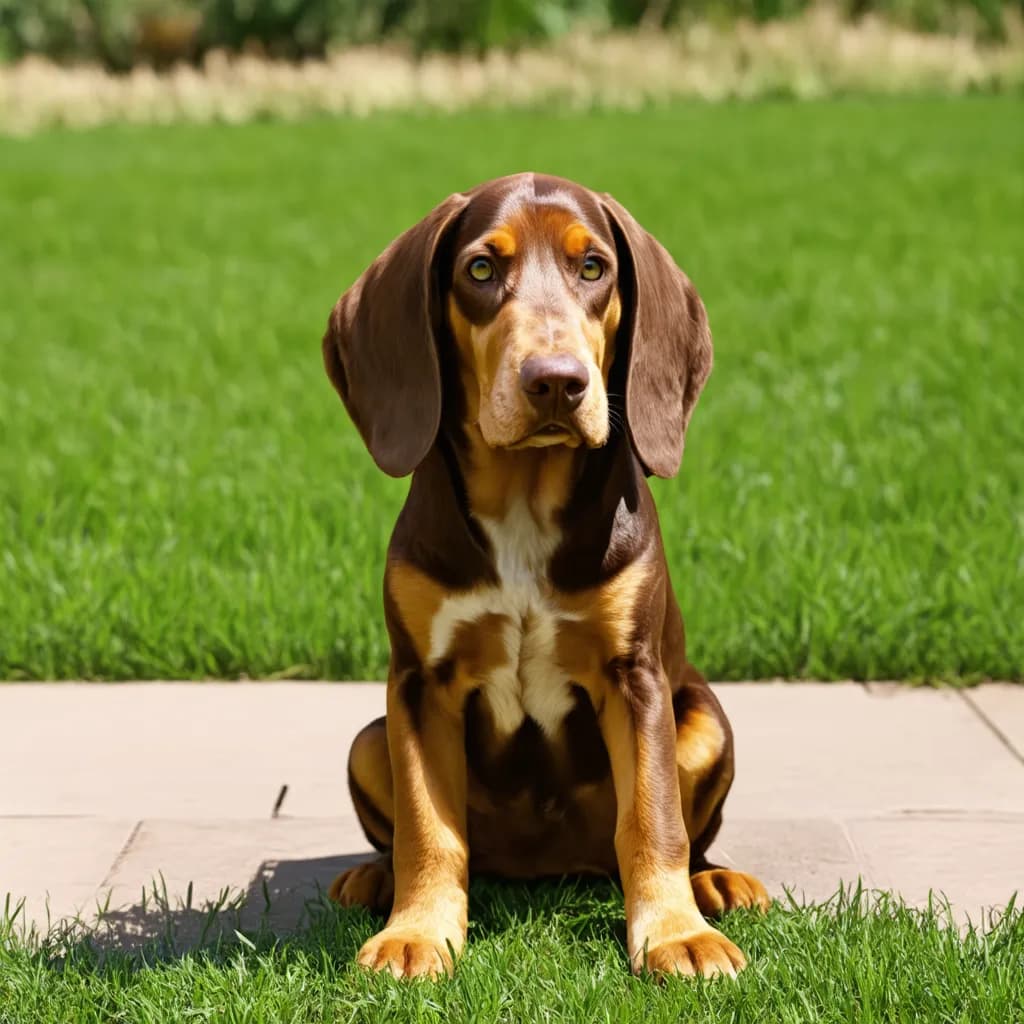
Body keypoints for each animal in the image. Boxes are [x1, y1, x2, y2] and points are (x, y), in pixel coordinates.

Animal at [319, 172, 770, 978]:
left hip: (704, 720)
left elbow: (654, 818)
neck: (524, 503)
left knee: (686, 836)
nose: (557, 382)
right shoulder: (419, 683)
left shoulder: (635, 677)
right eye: (479, 268)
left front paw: (675, 934)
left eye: (593, 267)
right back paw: (373, 879)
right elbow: (427, 830)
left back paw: (715, 884)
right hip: (370, 739)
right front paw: (416, 931)